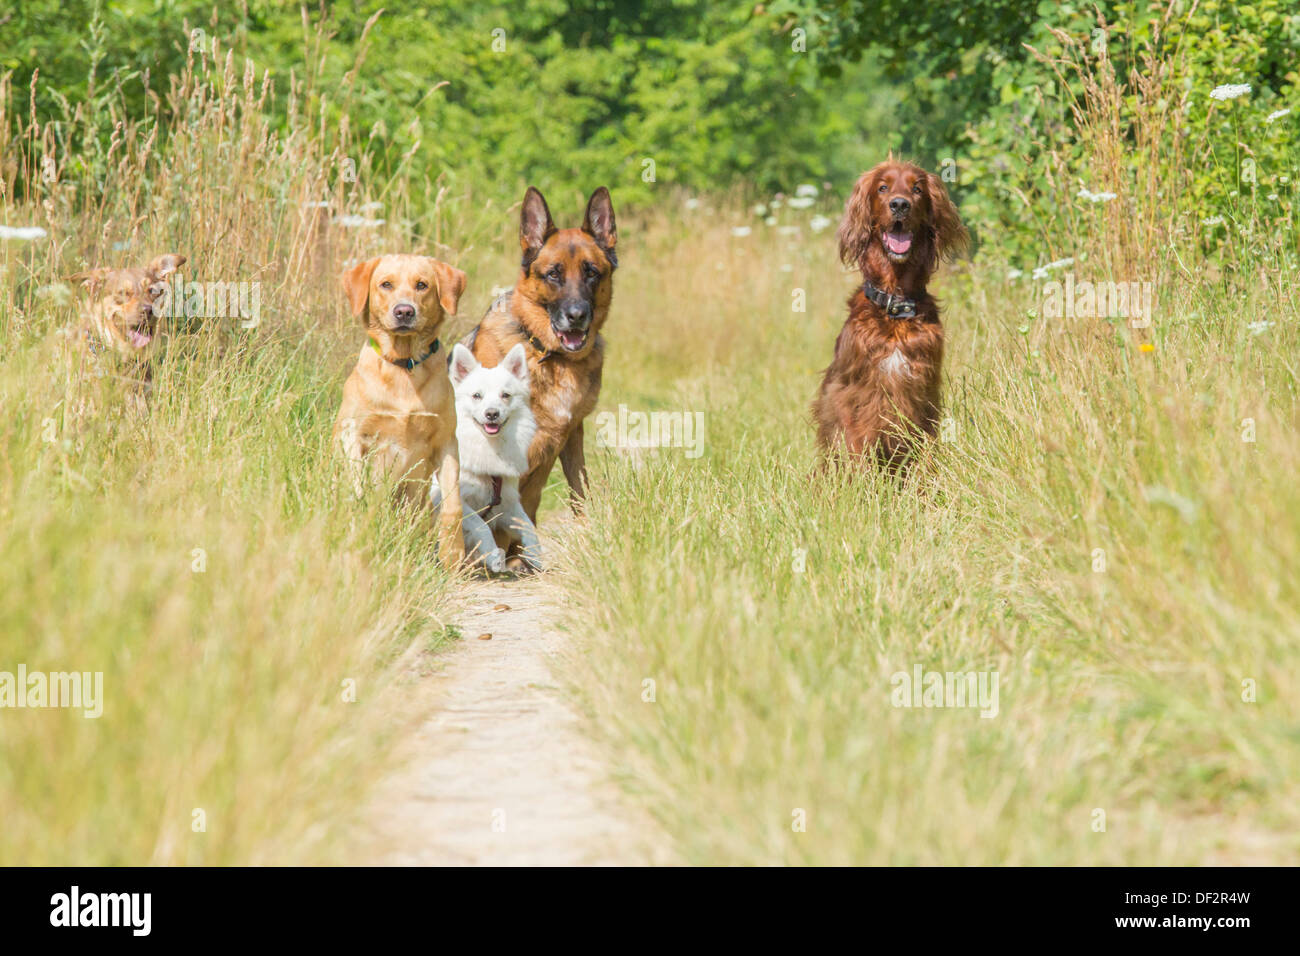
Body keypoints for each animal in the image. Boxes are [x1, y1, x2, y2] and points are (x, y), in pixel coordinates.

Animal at [332, 254, 470, 567]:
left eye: (422, 285)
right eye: (386, 284)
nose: (404, 311)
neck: (404, 365)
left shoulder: (446, 442)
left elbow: (453, 505)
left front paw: (453, 554)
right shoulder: (354, 435)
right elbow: (358, 490)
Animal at [436, 343, 538, 572]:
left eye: (506, 395)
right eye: (477, 396)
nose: (492, 414)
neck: (488, 446)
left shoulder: (507, 503)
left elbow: (528, 526)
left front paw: (536, 554)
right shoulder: (453, 500)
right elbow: (480, 524)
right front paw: (494, 556)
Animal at [460, 184, 616, 530]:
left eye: (592, 273)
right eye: (553, 275)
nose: (576, 316)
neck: (547, 353)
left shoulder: (570, 434)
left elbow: (579, 491)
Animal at [811, 158, 967, 468]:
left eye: (917, 189)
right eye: (882, 188)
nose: (900, 205)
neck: (894, 308)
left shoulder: (924, 393)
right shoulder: (849, 393)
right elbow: (854, 444)